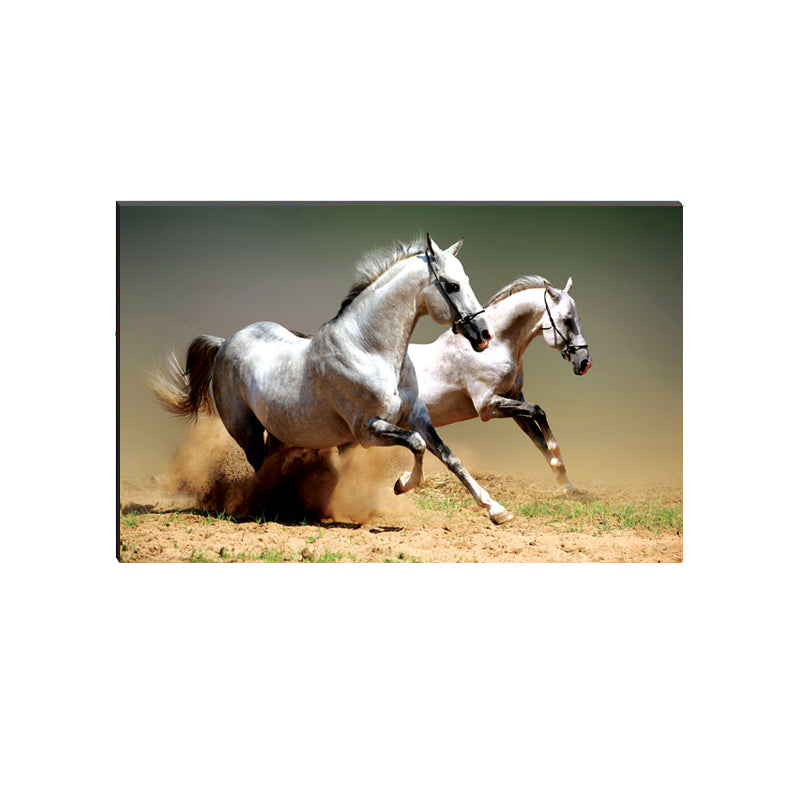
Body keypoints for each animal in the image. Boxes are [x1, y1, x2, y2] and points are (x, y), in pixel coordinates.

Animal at [150, 234, 515, 525]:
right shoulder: (368, 430)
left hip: (281, 431)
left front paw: (497, 510)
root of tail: (225, 342)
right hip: (247, 431)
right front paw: (401, 484)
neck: (370, 349)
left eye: (465, 279)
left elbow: (449, 456)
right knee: (259, 468)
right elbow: (417, 445)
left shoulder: (416, 416)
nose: (484, 335)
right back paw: (266, 507)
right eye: (452, 285)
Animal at [408, 275, 591, 494]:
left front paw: (567, 484)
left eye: (578, 319)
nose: (585, 362)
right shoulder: (487, 406)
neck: (495, 347)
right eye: (567, 320)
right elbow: (538, 411)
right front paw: (558, 461)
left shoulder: (513, 400)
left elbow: (538, 439)